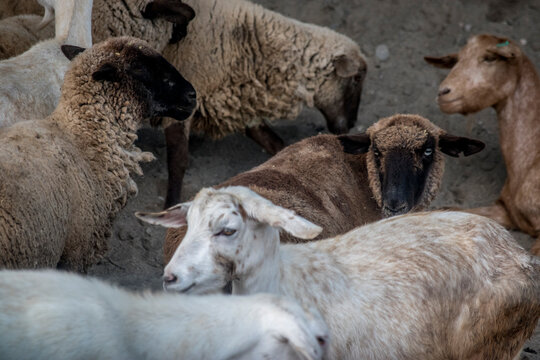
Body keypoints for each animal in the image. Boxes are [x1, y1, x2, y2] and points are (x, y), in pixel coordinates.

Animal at [136, 186, 540, 360]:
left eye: (227, 229)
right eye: (188, 224)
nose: (170, 277)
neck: (285, 281)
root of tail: (517, 252)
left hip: (489, 348)